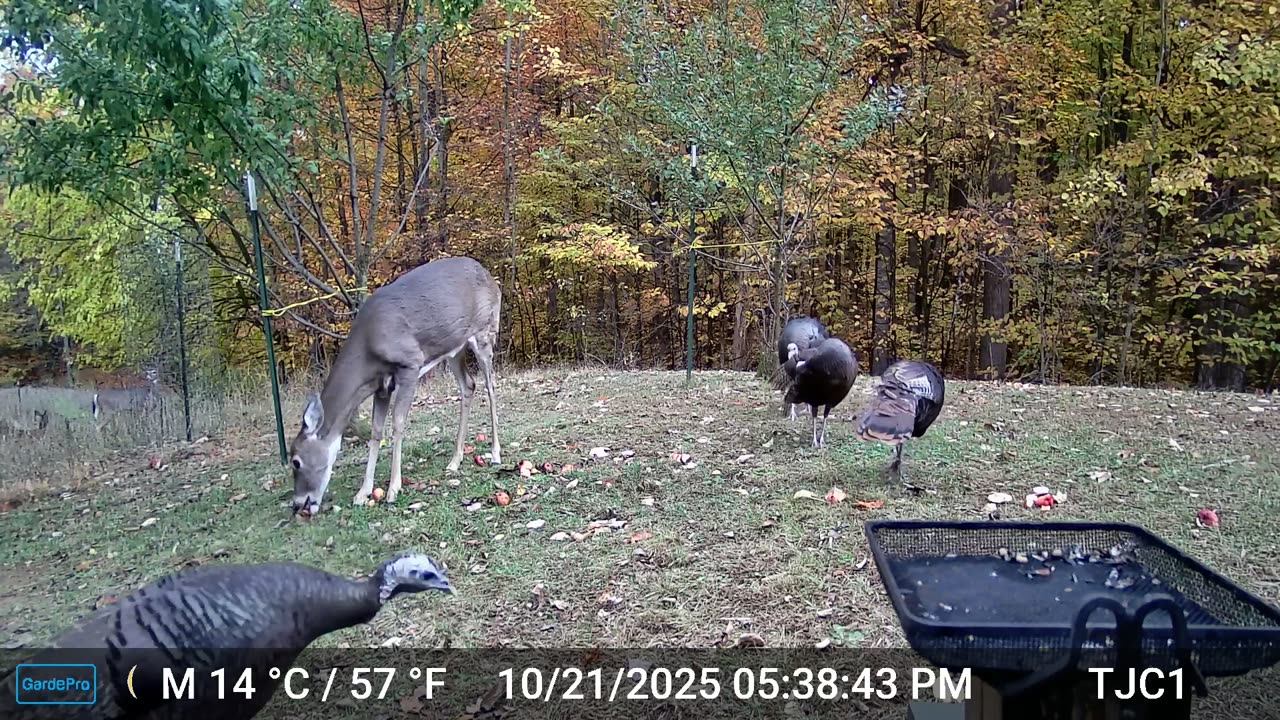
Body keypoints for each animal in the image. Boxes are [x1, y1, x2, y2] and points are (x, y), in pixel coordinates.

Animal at [289, 256, 503, 517]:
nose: (298, 503)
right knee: (469, 385)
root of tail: (491, 278)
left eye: (296, 461)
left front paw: (393, 489)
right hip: (454, 348)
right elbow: (376, 430)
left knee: (491, 387)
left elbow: (398, 424)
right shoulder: (381, 386)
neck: (369, 347)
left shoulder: (410, 364)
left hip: (485, 332)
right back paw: (455, 460)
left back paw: (495, 453)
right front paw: (362, 493)